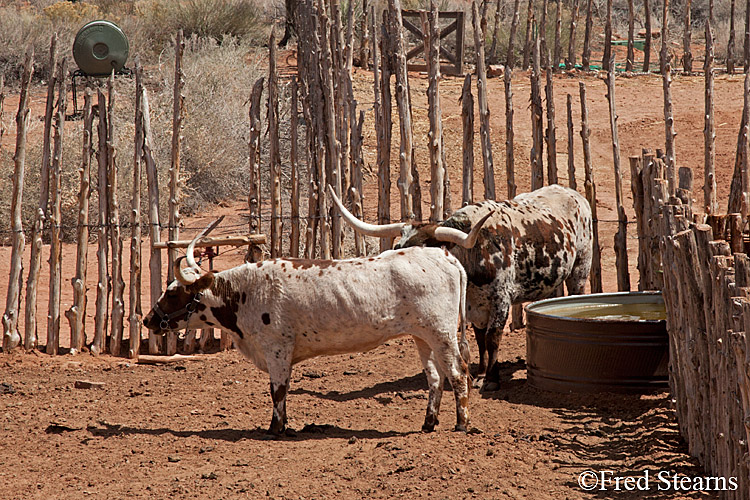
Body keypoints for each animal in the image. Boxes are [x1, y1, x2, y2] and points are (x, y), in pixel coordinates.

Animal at [145, 217, 494, 436]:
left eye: (173, 292)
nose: (149, 319)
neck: (246, 292)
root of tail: (445, 256)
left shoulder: (277, 349)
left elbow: (277, 389)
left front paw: (276, 429)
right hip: (423, 337)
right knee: (435, 378)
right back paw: (428, 423)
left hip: (442, 333)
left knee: (458, 373)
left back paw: (461, 424)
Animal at [332, 184, 596, 390]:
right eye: (398, 246)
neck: (478, 251)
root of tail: (573, 193)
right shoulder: (473, 305)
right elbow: (479, 339)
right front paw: (480, 373)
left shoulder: (501, 299)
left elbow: (492, 337)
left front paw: (491, 379)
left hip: (580, 269)